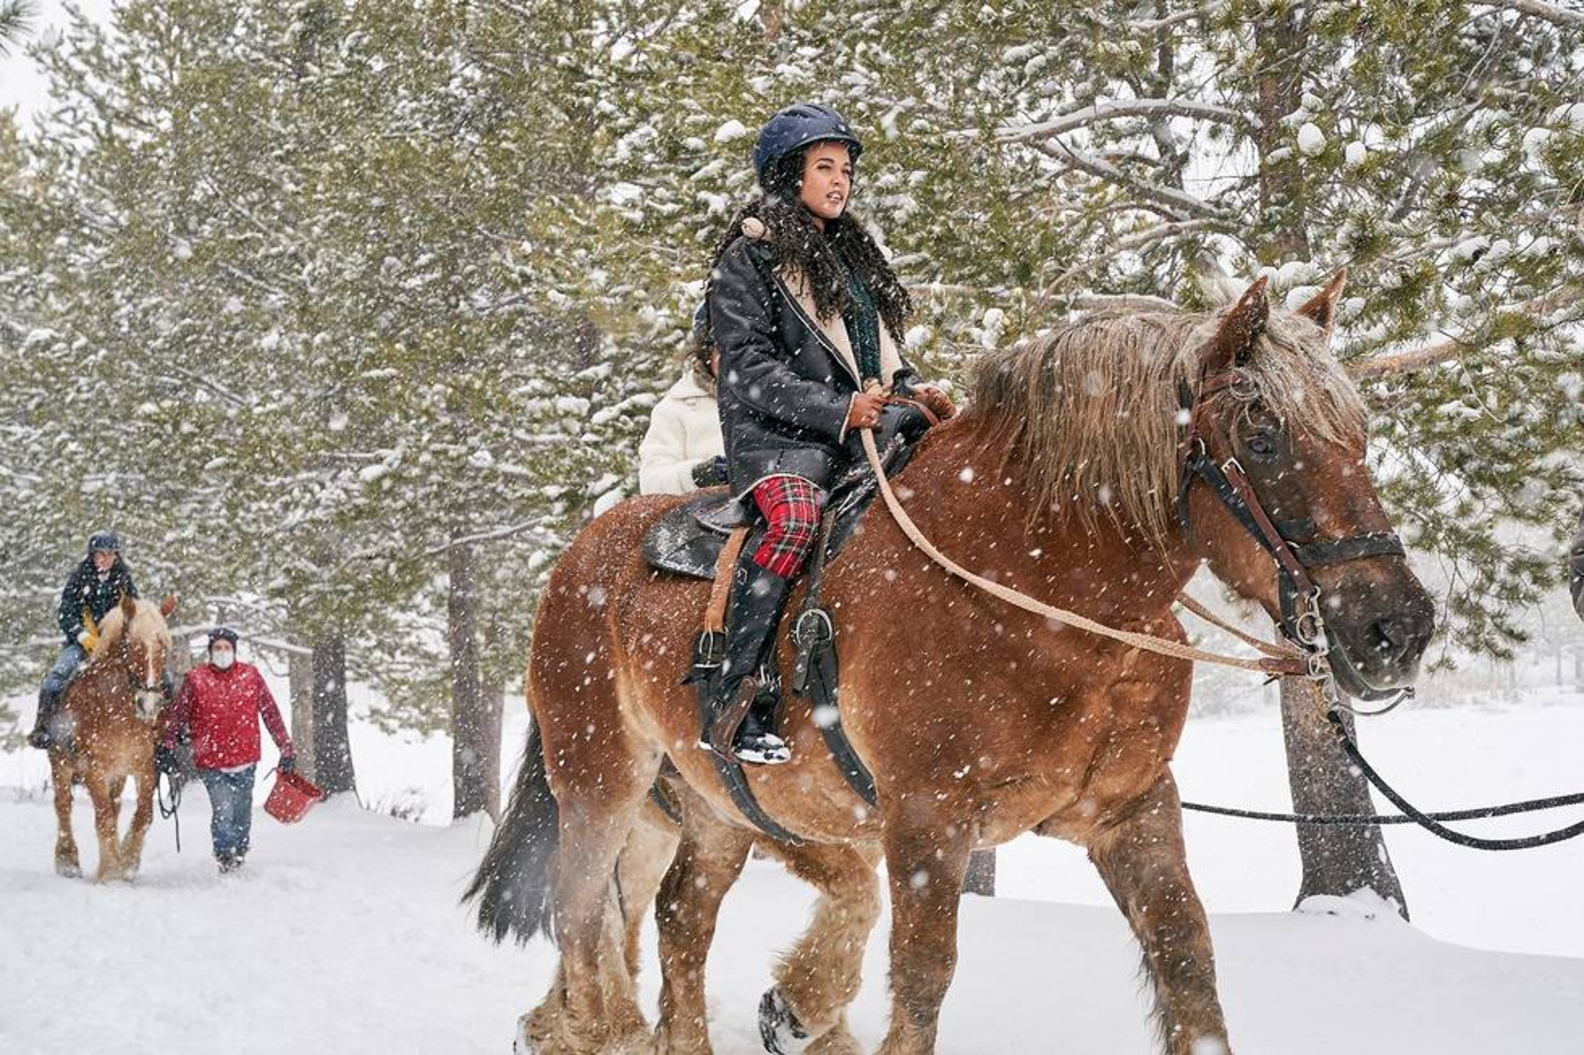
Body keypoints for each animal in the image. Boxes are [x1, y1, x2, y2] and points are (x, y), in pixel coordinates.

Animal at [48, 593, 177, 883]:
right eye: (133, 645)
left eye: (163, 646)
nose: (148, 704)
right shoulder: (93, 769)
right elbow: (104, 817)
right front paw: (110, 871)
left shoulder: (145, 767)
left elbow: (143, 815)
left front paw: (127, 861)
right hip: (60, 763)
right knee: (63, 805)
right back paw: (67, 860)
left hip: (117, 775)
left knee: (115, 805)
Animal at [467, 276, 1437, 1055]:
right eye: (1264, 435)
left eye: (1359, 429)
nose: (1397, 625)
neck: (1034, 586)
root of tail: (583, 552)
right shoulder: (929, 818)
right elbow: (924, 971)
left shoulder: (1132, 810)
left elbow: (1187, 960)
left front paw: (801, 1004)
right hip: (603, 779)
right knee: (586, 913)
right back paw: (597, 1025)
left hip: (716, 809)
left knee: (678, 921)